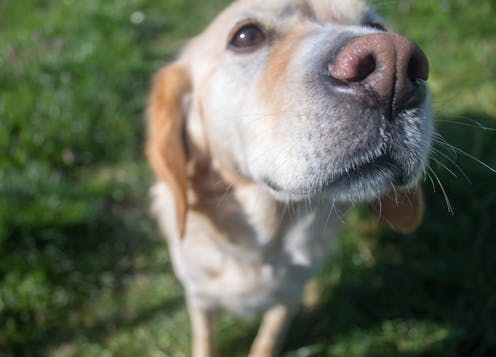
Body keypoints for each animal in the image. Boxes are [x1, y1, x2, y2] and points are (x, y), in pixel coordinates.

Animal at [145, 1, 432, 354]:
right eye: (246, 35)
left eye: (377, 27)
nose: (395, 65)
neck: (265, 243)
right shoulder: (199, 298)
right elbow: (205, 341)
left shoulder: (286, 299)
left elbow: (269, 338)